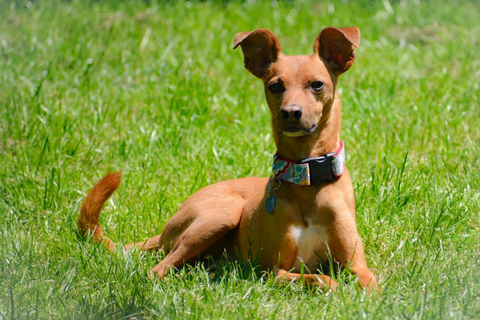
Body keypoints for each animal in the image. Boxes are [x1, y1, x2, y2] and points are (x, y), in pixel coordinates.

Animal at [78, 26, 378, 292]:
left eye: (317, 84)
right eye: (275, 86)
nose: (291, 113)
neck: (305, 176)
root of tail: (161, 234)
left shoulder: (355, 264)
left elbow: (369, 283)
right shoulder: (274, 271)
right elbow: (318, 278)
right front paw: (334, 287)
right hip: (224, 212)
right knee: (159, 269)